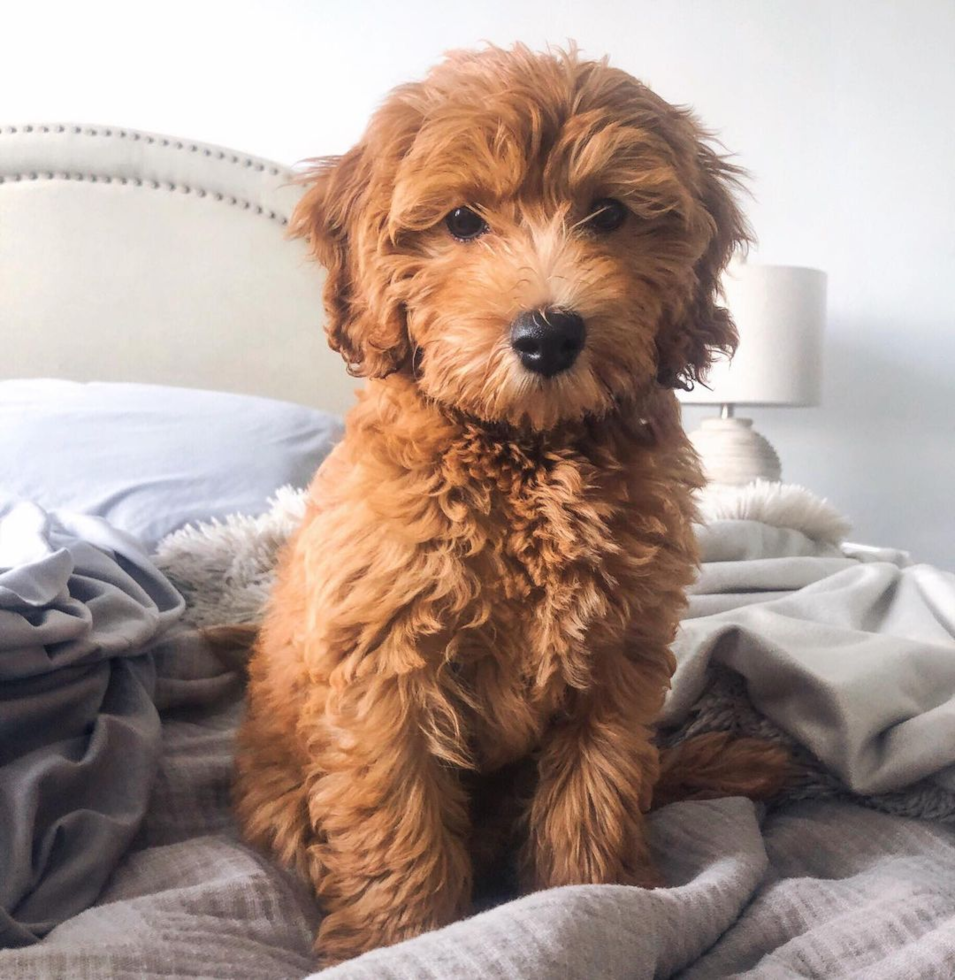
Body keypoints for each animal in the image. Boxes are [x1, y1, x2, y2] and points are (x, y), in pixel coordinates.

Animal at [237, 46, 784, 964]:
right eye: (461, 221)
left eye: (608, 213)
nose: (548, 336)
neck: (527, 454)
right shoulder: (386, 668)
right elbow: (393, 819)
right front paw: (395, 939)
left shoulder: (617, 659)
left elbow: (596, 793)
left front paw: (596, 900)